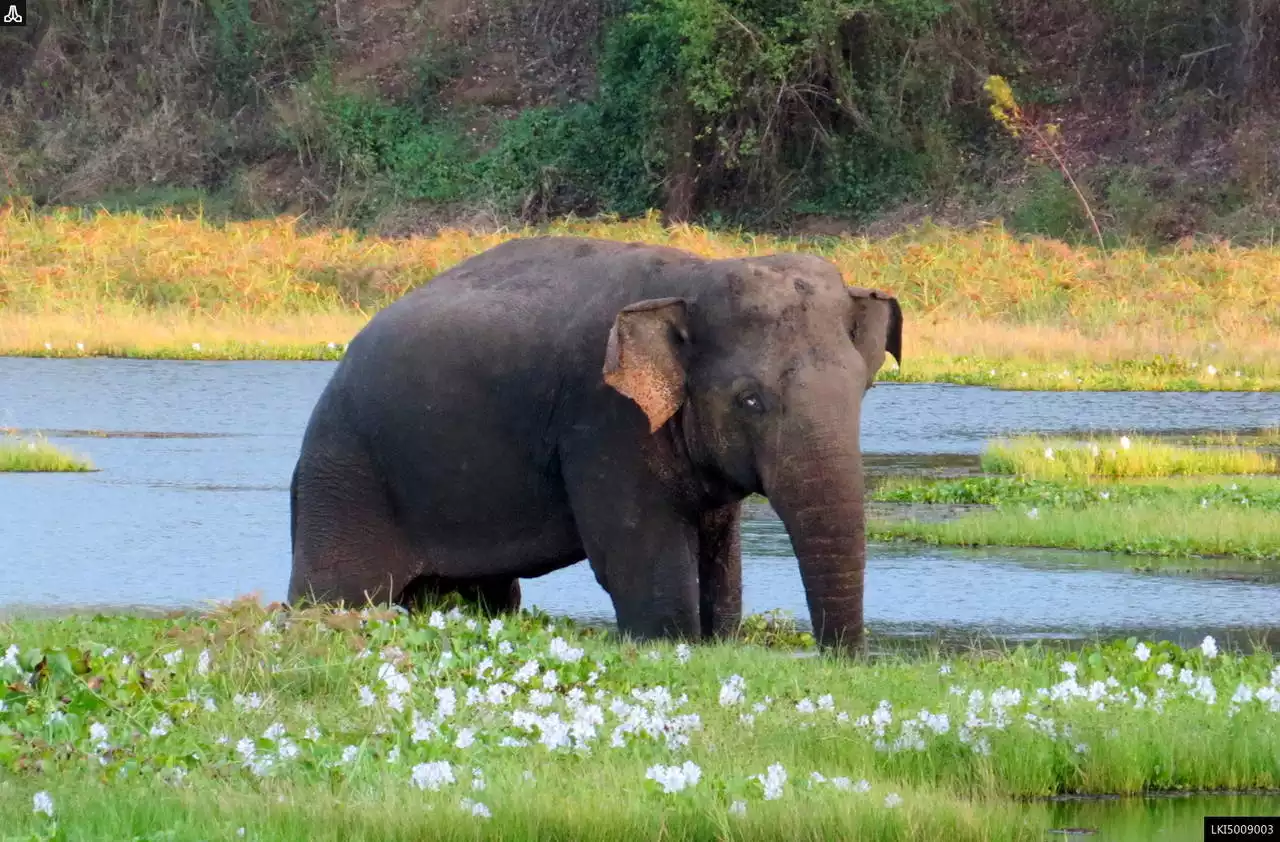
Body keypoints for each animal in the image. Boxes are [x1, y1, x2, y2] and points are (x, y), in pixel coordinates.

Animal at [289, 235, 901, 650]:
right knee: (336, 592)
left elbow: (720, 560)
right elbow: (635, 559)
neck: (693, 279)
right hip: (346, 476)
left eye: (862, 390)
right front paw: (672, 643)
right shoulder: (604, 421)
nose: (839, 661)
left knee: (488, 596)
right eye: (750, 400)